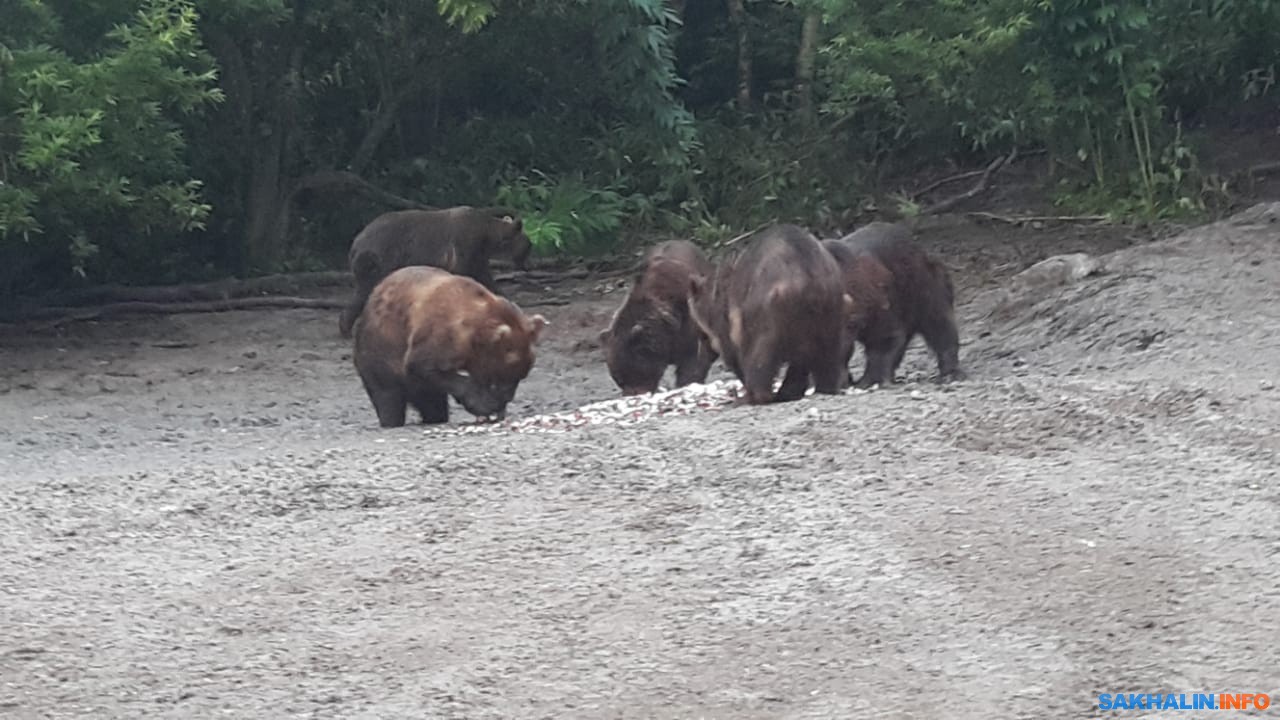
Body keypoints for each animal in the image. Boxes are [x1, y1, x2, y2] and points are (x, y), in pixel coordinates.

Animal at [337, 202, 532, 335]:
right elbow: (467, 275)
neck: (487, 235)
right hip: (379, 258)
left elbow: (486, 278)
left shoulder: (478, 256)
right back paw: (348, 327)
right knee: (366, 289)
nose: (529, 266)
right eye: (529, 246)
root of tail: (356, 241)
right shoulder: (465, 244)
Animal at [353, 266, 547, 427]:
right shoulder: (440, 336)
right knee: (386, 394)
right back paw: (391, 419)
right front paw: (484, 404)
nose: (507, 398)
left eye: (521, 375)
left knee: (432, 404)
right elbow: (423, 366)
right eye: (502, 376)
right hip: (380, 349)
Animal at [686, 222, 855, 404]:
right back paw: (819, 387)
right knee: (826, 354)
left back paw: (755, 395)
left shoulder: (725, 317)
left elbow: (733, 353)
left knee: (760, 354)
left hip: (768, 307)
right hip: (832, 306)